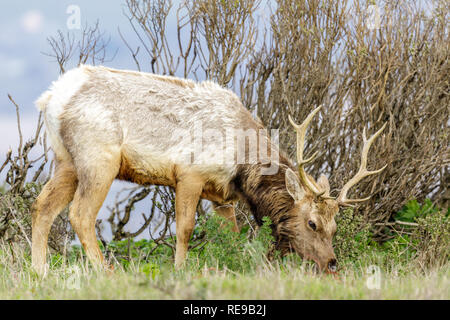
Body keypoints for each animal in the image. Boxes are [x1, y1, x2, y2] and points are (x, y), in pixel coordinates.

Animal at [31, 65, 384, 276]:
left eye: (334, 226)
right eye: (312, 223)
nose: (332, 263)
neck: (241, 164)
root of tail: (50, 98)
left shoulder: (221, 195)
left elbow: (232, 233)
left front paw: (237, 263)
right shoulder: (189, 173)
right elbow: (185, 228)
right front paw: (180, 269)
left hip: (65, 161)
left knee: (42, 206)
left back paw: (40, 271)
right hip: (98, 158)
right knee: (80, 214)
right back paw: (106, 272)